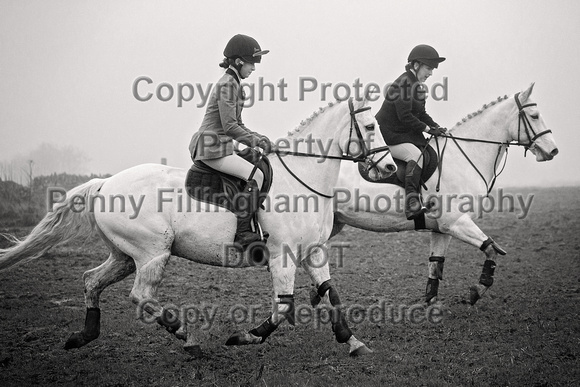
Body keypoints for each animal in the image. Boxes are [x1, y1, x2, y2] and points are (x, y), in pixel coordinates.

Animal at [0, 98, 396, 358]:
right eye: (371, 126)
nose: (389, 169)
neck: (303, 178)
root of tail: (105, 183)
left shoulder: (314, 252)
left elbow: (331, 293)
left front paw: (353, 342)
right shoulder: (282, 255)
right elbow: (283, 306)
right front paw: (246, 337)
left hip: (124, 255)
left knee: (91, 280)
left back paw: (84, 335)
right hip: (152, 252)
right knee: (140, 296)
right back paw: (186, 337)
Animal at [328, 84, 556, 306]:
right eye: (534, 116)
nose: (553, 151)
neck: (464, 157)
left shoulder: (442, 229)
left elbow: (436, 264)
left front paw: (431, 300)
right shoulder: (455, 222)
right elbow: (490, 248)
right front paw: (478, 289)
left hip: (335, 223)